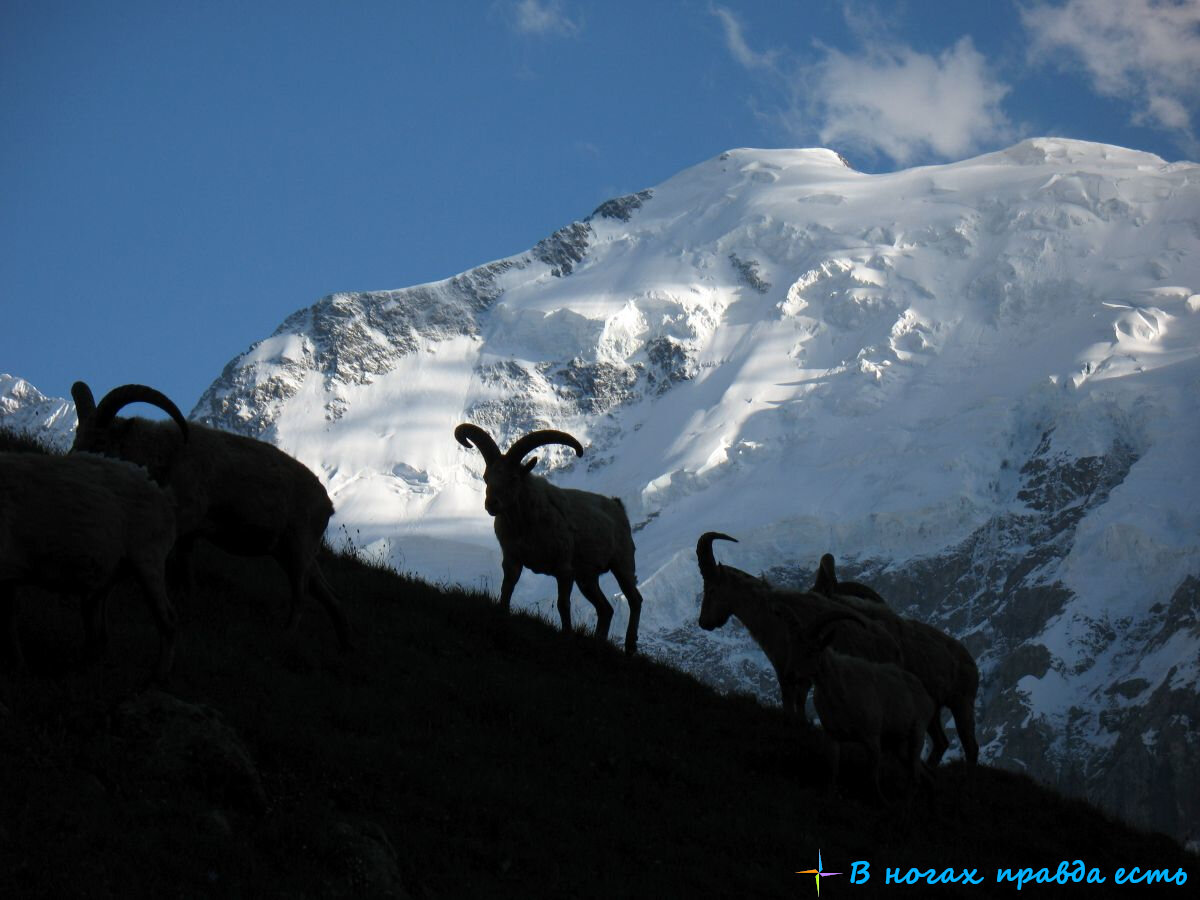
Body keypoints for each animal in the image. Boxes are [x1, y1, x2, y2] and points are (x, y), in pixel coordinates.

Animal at [0, 453, 177, 681]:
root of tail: (163, 494)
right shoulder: (8, 575)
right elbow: (9, 617)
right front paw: (18, 666)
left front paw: (18, 668)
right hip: (109, 571)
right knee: (99, 630)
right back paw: (87, 666)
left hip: (148, 558)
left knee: (168, 620)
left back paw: (158, 675)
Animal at [70, 384, 350, 652]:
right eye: (77, 434)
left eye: (100, 440)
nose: (75, 462)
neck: (167, 455)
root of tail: (327, 504)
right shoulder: (188, 532)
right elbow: (185, 566)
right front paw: (188, 598)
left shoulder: (185, 518)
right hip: (292, 552)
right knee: (331, 595)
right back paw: (343, 646)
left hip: (298, 548)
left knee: (301, 595)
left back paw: (287, 636)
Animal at [451, 422, 648, 657]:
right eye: (486, 477)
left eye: (514, 478)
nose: (492, 504)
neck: (525, 525)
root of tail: (617, 507)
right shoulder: (513, 559)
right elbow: (507, 587)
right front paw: (502, 613)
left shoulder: (564, 569)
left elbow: (563, 604)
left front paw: (567, 636)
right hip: (587, 577)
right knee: (605, 609)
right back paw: (598, 642)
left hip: (622, 564)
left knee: (635, 599)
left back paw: (630, 646)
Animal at [696, 535, 902, 720]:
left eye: (711, 589)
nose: (703, 622)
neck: (767, 612)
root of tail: (894, 646)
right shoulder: (800, 673)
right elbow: (800, 701)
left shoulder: (785, 667)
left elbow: (790, 700)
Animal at [768, 607, 936, 801]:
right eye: (792, 646)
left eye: (811, 650)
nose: (789, 675)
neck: (838, 690)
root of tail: (926, 695)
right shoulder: (832, 735)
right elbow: (833, 770)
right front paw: (830, 795)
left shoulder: (872, 738)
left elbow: (872, 778)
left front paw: (879, 800)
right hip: (899, 742)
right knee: (919, 771)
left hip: (917, 731)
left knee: (915, 773)